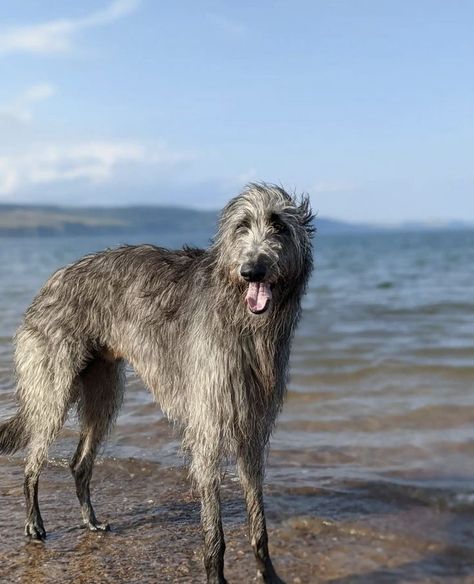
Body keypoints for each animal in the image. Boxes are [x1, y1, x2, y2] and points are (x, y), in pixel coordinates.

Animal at [0, 184, 314, 584]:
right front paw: (215, 574)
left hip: (102, 389)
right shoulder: (208, 424)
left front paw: (268, 572)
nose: (251, 270)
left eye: (279, 226)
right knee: (32, 459)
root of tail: (49, 282)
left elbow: (257, 516)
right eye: (242, 226)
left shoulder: (252, 427)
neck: (241, 320)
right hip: (53, 386)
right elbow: (214, 529)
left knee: (79, 463)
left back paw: (90, 521)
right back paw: (33, 523)